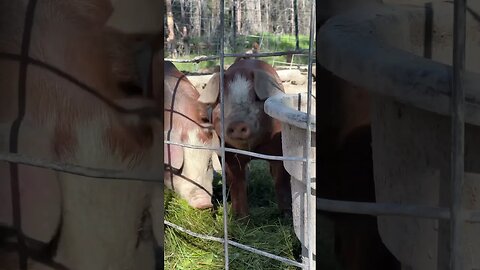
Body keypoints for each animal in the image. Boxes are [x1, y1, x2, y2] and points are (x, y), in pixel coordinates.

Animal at [197, 58, 290, 217]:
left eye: (256, 98)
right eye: (222, 101)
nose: (238, 123)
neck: (253, 149)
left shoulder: (278, 148)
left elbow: (281, 179)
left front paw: (286, 216)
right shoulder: (230, 154)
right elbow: (237, 182)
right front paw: (241, 218)